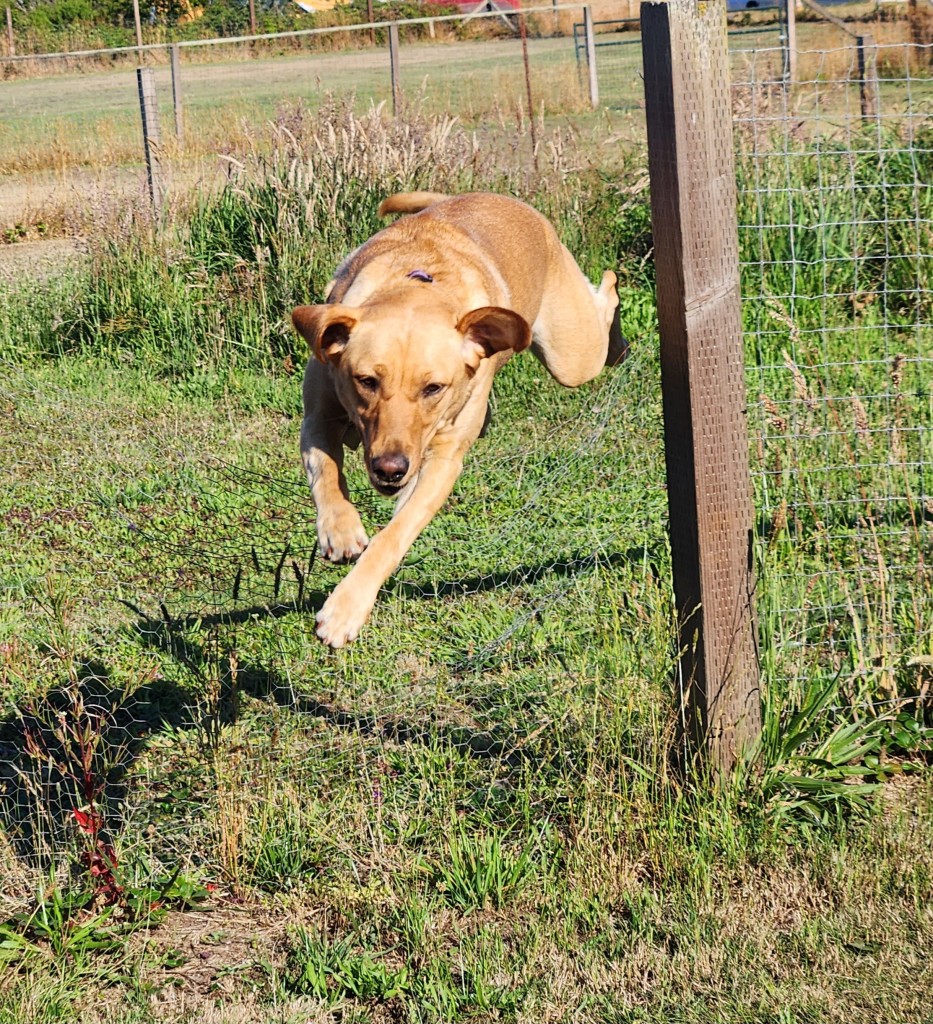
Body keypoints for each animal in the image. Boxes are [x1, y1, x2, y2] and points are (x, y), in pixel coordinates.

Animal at [290, 190, 626, 647]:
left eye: (433, 388)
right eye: (366, 381)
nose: (391, 469)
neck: (414, 285)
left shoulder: (440, 463)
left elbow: (394, 536)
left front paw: (345, 609)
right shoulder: (318, 415)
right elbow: (325, 471)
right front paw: (340, 530)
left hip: (572, 356)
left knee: (605, 296)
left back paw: (618, 333)